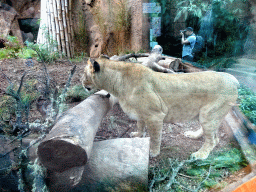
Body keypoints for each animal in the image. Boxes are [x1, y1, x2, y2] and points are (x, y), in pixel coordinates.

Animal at [82, 58, 240, 159]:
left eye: (84, 73)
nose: (81, 82)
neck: (117, 84)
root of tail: (233, 78)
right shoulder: (141, 113)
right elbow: (140, 125)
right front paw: (137, 135)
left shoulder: (155, 115)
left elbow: (155, 137)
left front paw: (153, 152)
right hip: (207, 115)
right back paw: (193, 135)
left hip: (209, 114)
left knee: (214, 140)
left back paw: (200, 155)